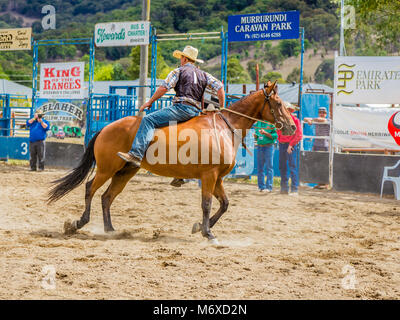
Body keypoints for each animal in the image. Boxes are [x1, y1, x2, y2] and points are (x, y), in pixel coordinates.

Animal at [48, 80, 296, 242]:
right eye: (278, 104)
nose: (292, 127)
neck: (223, 127)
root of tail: (105, 128)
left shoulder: (218, 178)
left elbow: (224, 204)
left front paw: (199, 227)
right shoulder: (209, 176)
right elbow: (207, 204)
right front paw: (207, 232)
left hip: (125, 172)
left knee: (107, 197)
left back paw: (111, 230)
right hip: (107, 169)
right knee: (90, 188)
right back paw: (78, 223)